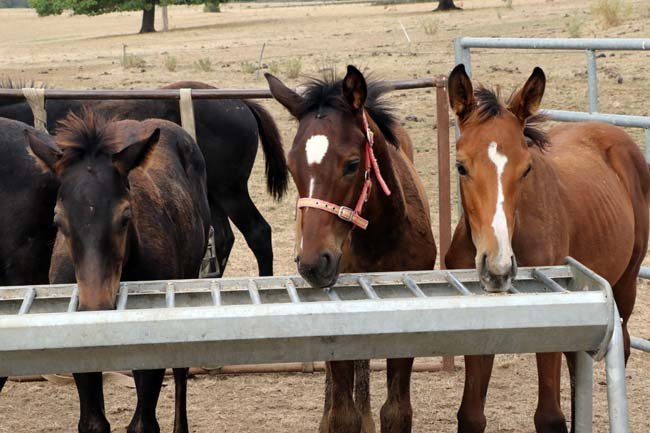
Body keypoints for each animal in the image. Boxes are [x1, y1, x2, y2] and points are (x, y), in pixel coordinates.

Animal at [25, 109, 211, 433]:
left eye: (125, 216)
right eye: (59, 220)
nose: (96, 307)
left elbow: (143, 422)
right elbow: (93, 422)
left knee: (180, 372)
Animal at [266, 65, 436, 433]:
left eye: (352, 164)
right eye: (291, 166)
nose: (315, 263)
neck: (380, 240)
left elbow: (396, 412)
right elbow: (343, 415)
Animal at [445, 64, 649, 433]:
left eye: (527, 168)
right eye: (461, 166)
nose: (497, 269)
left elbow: (549, 417)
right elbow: (470, 415)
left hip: (626, 283)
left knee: (621, 347)